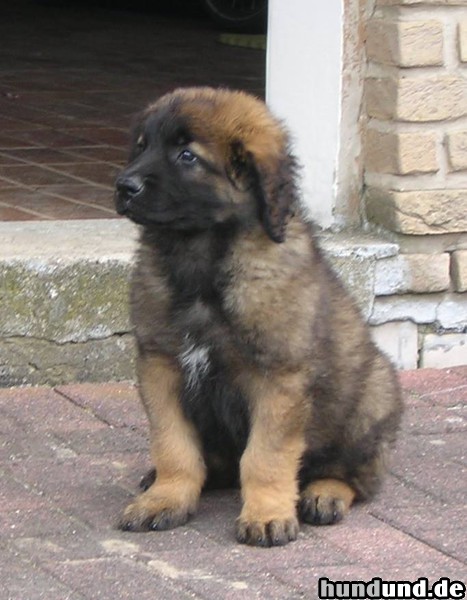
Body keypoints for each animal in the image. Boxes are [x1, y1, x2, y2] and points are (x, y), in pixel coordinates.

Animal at [115, 86, 404, 548]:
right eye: (141, 147)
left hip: (372, 395)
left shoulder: (278, 378)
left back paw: (325, 493)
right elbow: (173, 445)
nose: (124, 186)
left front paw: (267, 514)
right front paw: (166, 497)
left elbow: (265, 456)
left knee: (357, 478)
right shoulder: (160, 364)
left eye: (187, 156)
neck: (201, 257)